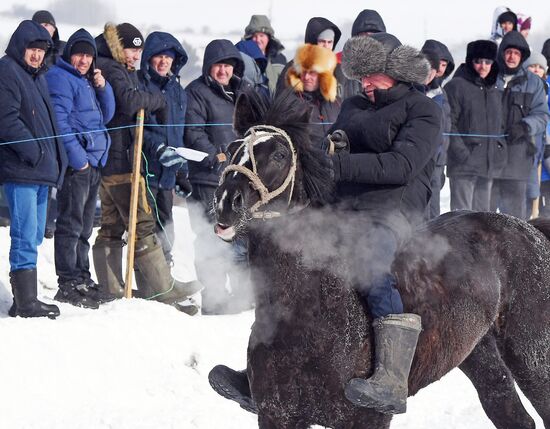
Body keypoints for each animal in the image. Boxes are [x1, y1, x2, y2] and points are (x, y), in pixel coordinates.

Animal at [213, 91, 550, 428]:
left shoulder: (368, 418)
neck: (308, 310)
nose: (227, 202)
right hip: (479, 353)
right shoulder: (276, 415)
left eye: (280, 155)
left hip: (532, 355)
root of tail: (530, 229)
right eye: (231, 149)